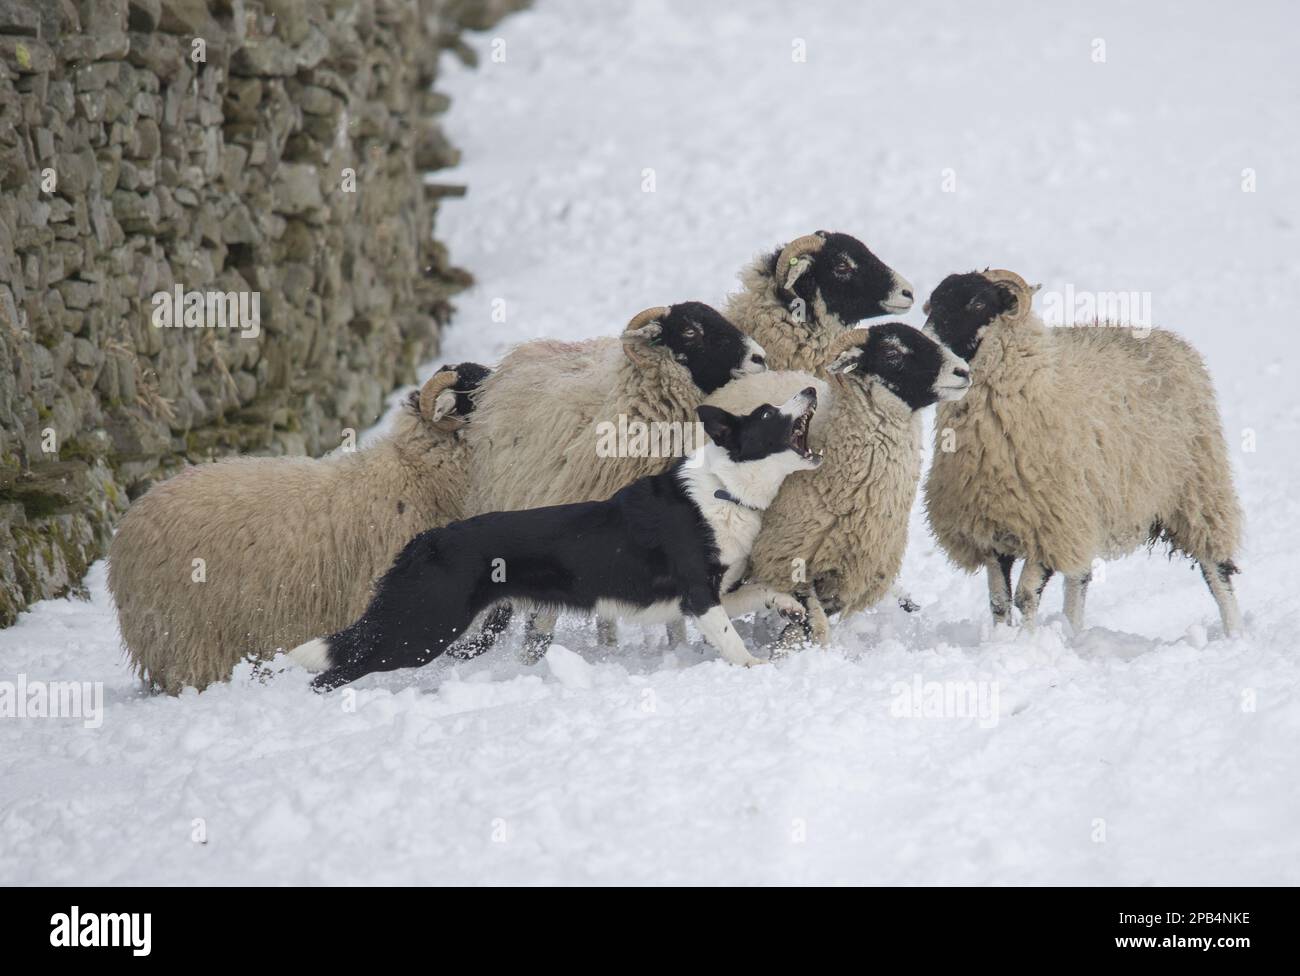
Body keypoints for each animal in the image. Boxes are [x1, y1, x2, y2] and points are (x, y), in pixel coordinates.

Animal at [293, 389, 821, 686]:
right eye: (768, 413)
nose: (812, 386)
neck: (725, 490)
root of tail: (424, 541)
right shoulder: (699, 596)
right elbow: (731, 640)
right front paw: (755, 668)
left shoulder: (710, 595)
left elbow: (761, 591)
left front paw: (789, 606)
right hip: (423, 631)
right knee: (335, 671)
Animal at [707, 321, 972, 644]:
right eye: (892, 353)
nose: (963, 371)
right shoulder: (784, 560)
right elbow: (816, 623)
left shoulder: (849, 575)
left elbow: (820, 613)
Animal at [920, 267, 1242, 636]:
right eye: (933, 304)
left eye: (977, 303)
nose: (925, 345)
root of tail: (1168, 337)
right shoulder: (991, 533)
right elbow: (999, 601)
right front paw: (1001, 641)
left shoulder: (1052, 527)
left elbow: (1025, 596)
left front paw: (1027, 642)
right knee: (1079, 579)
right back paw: (1072, 633)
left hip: (1198, 489)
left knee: (1217, 570)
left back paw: (1235, 633)